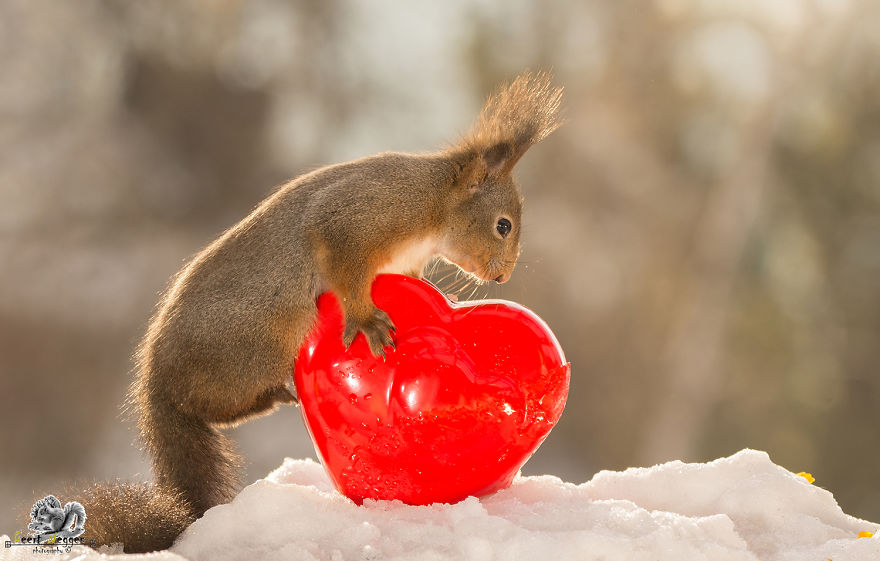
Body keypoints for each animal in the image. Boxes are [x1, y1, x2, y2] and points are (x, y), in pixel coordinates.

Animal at [54, 72, 562, 553]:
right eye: (503, 226)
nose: (501, 278)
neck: (433, 203)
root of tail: (156, 377)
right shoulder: (354, 222)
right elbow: (346, 272)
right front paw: (367, 321)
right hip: (259, 342)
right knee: (206, 403)